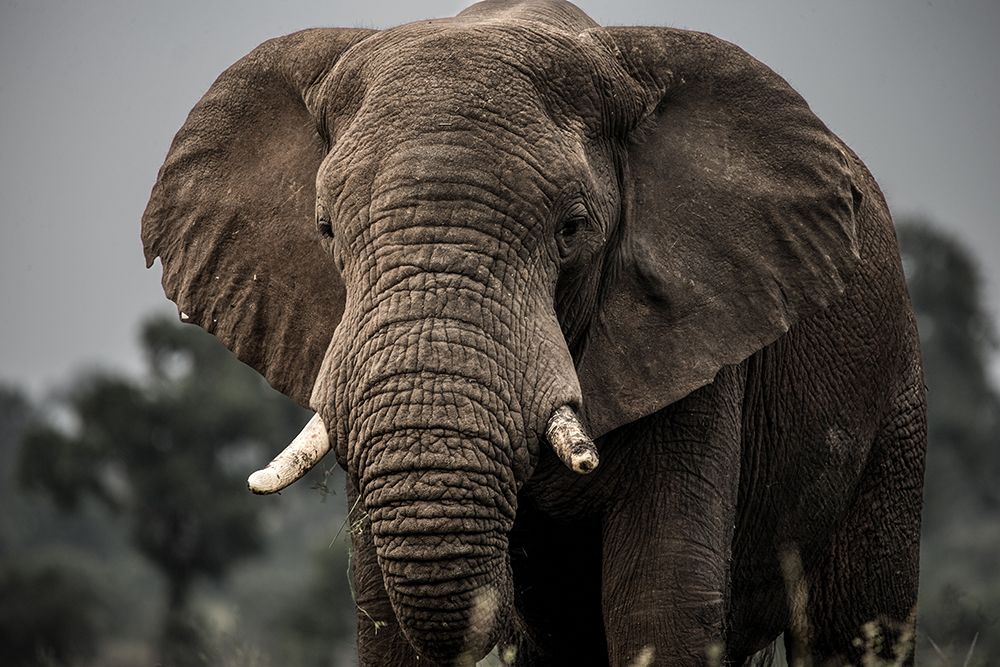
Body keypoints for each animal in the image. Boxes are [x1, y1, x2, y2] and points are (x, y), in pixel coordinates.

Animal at [141, 1, 927, 665]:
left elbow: (659, 602)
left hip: (896, 404)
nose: (508, 583)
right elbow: (382, 616)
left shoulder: (699, 338)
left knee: (854, 630)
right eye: (327, 230)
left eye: (572, 230)